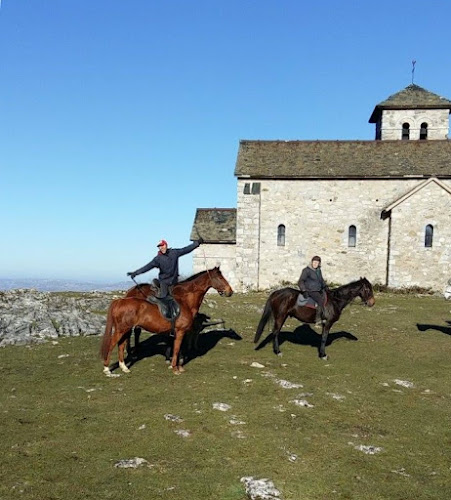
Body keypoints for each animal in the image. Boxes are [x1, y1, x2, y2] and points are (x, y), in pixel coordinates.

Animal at [100, 268, 233, 374]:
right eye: (220, 277)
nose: (230, 291)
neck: (185, 302)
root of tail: (120, 301)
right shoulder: (180, 332)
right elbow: (177, 349)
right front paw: (175, 368)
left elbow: (178, 349)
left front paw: (177, 365)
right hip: (121, 330)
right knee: (112, 344)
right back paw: (107, 368)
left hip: (125, 330)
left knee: (121, 345)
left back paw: (124, 367)